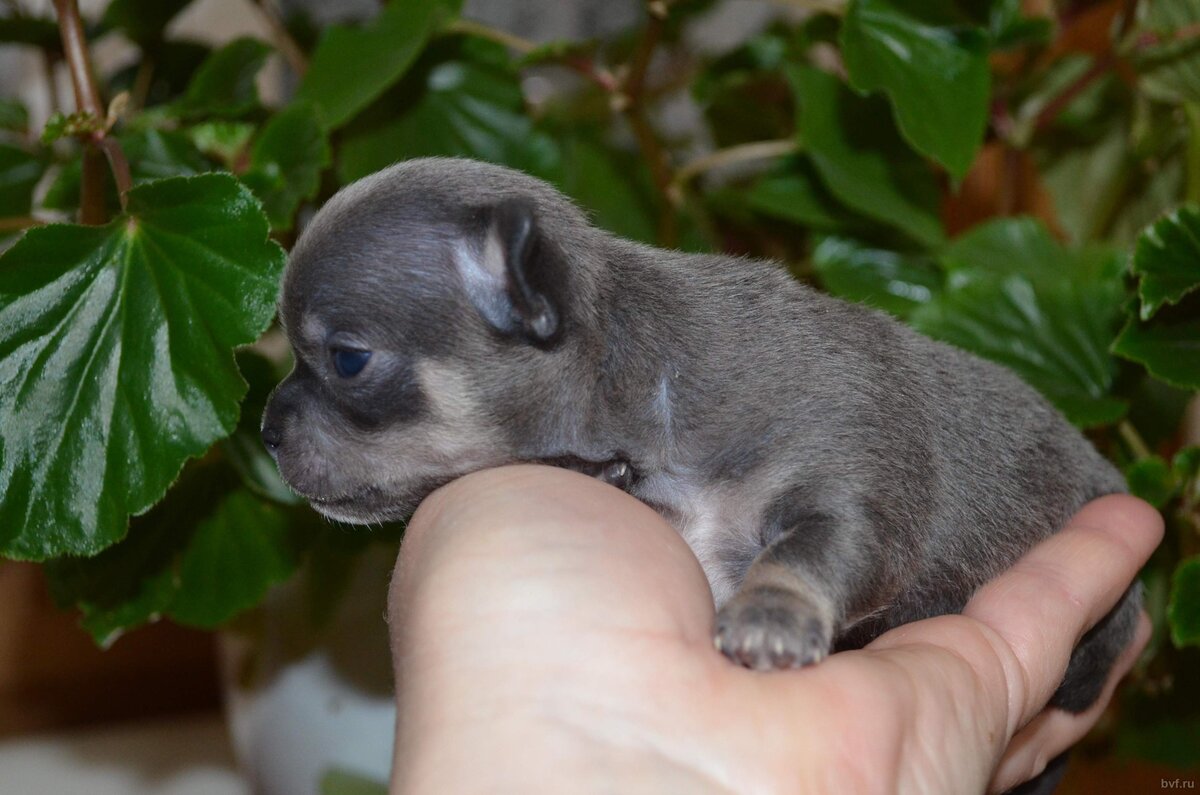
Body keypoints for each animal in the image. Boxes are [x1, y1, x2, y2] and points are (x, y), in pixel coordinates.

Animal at [260, 157, 1132, 715]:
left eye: (347, 358)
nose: (264, 430)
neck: (648, 392)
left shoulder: (852, 482)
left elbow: (808, 549)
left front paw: (770, 617)